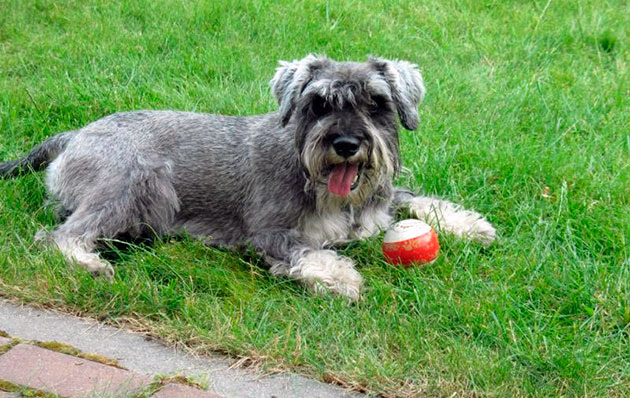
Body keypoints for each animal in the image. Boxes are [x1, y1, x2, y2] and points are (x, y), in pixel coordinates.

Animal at [0, 55, 496, 298]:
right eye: (318, 103)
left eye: (377, 103)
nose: (346, 144)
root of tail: (74, 135)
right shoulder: (272, 233)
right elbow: (309, 253)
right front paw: (341, 278)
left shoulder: (382, 199)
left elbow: (417, 199)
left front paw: (470, 225)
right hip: (132, 183)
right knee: (59, 236)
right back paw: (90, 263)